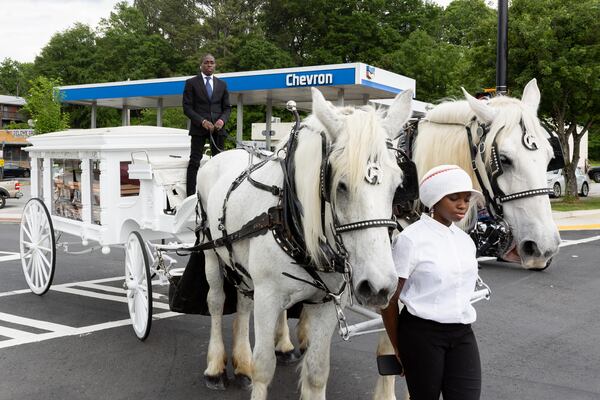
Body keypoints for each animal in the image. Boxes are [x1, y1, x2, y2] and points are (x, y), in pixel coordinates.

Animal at [197, 88, 412, 400]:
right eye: (341, 185)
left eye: (398, 186)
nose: (378, 287)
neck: (288, 214)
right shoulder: (268, 295)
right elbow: (264, 367)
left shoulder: (327, 303)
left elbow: (316, 372)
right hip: (211, 252)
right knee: (215, 301)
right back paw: (215, 367)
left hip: (241, 265)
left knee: (243, 303)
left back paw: (242, 363)